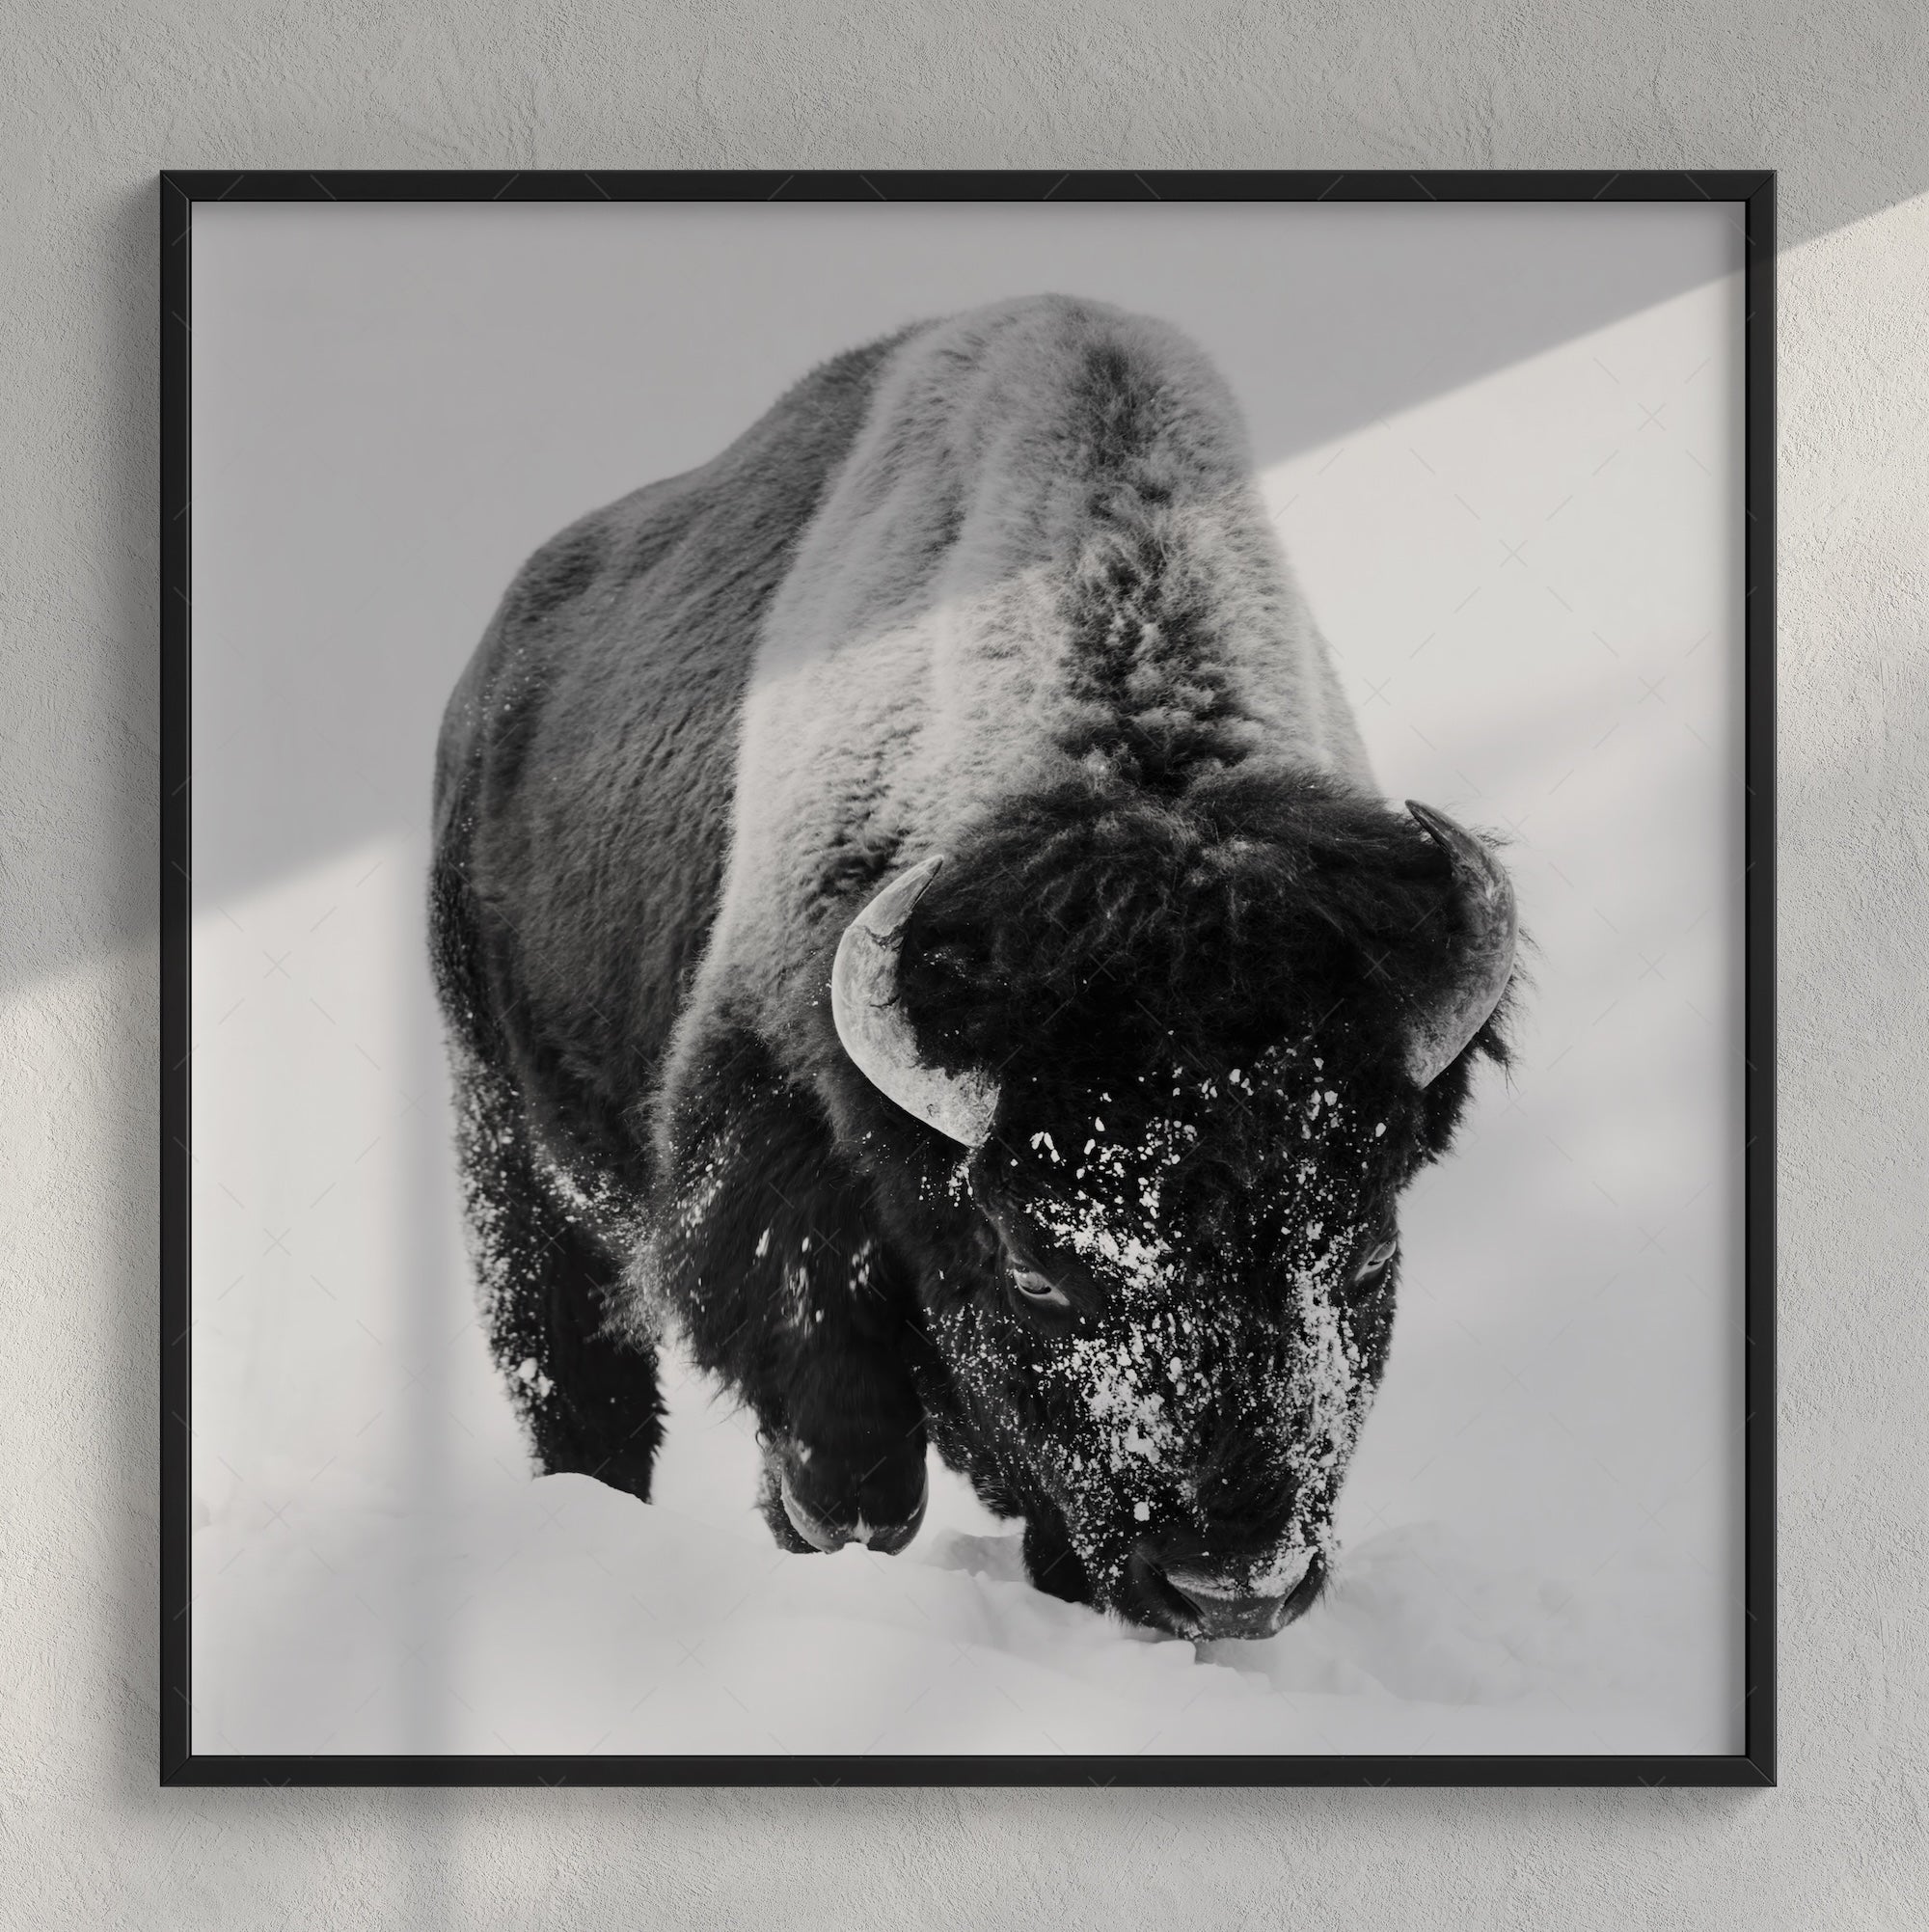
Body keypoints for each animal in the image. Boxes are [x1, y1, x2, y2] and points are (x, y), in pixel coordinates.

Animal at [430, 294, 1516, 1640]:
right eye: (1034, 1269)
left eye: (1364, 1254)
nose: (1230, 1584)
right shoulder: (767, 1148)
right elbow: (852, 1459)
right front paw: (831, 1521)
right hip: (509, 1147)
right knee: (582, 1382)